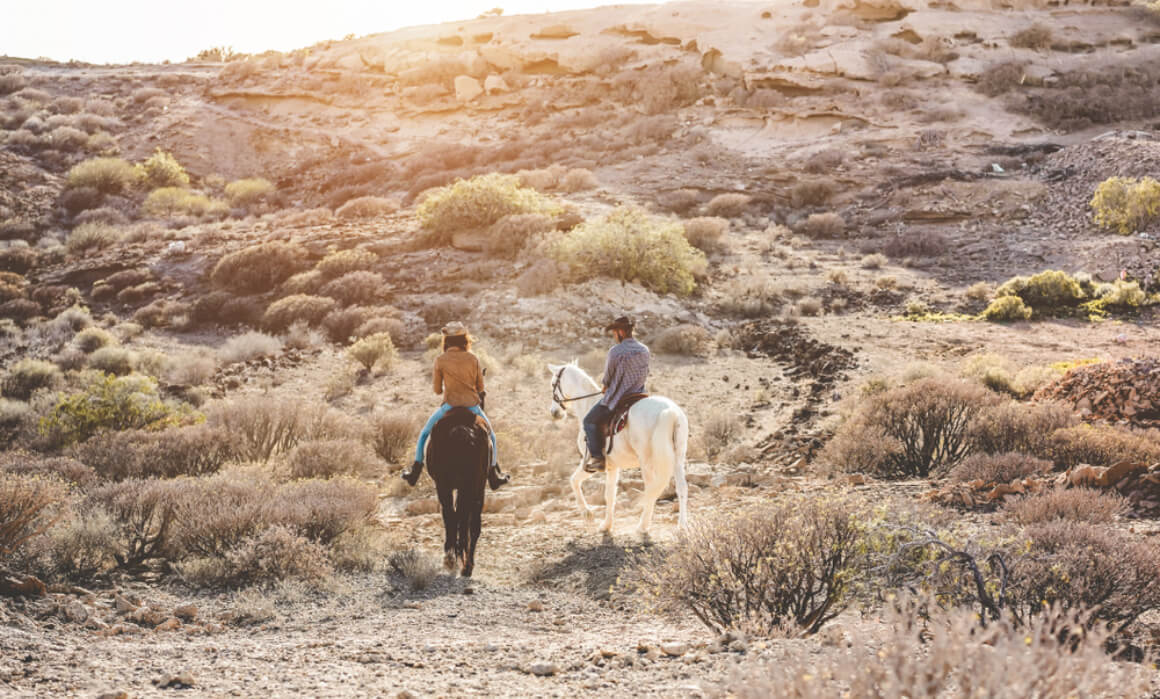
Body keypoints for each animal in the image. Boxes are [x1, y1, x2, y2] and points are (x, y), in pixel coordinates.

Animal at [424, 408, 487, 577]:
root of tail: (461, 430)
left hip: (445, 486)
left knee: (452, 517)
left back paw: (452, 560)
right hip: (472, 487)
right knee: (469, 523)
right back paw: (465, 565)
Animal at [545, 363, 686, 533]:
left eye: (553, 383)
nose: (554, 412)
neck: (588, 404)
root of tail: (670, 412)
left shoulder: (590, 463)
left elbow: (573, 481)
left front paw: (587, 513)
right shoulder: (613, 466)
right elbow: (610, 495)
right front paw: (607, 525)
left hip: (647, 462)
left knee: (652, 488)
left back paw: (643, 525)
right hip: (678, 459)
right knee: (681, 488)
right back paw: (682, 526)